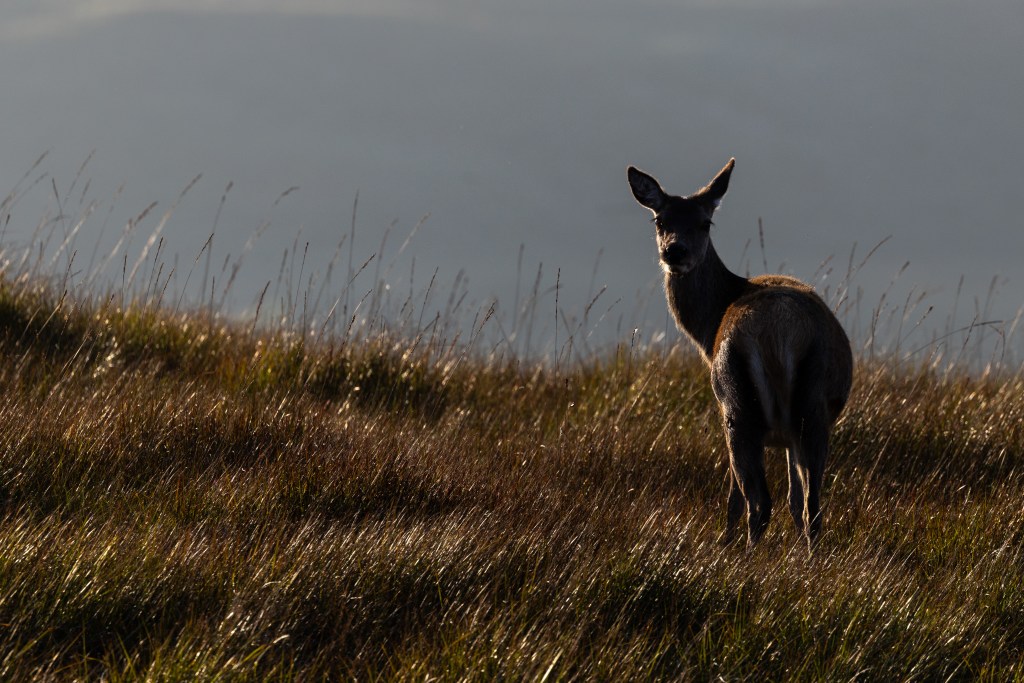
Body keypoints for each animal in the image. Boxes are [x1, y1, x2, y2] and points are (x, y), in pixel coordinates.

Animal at [626, 158, 853, 551]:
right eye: (660, 221)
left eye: (705, 222)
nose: (675, 251)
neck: (708, 329)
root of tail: (779, 333)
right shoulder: (791, 437)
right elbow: (796, 501)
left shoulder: (723, 408)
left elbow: (735, 497)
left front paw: (726, 540)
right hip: (812, 411)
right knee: (813, 506)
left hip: (738, 404)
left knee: (759, 502)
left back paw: (741, 556)